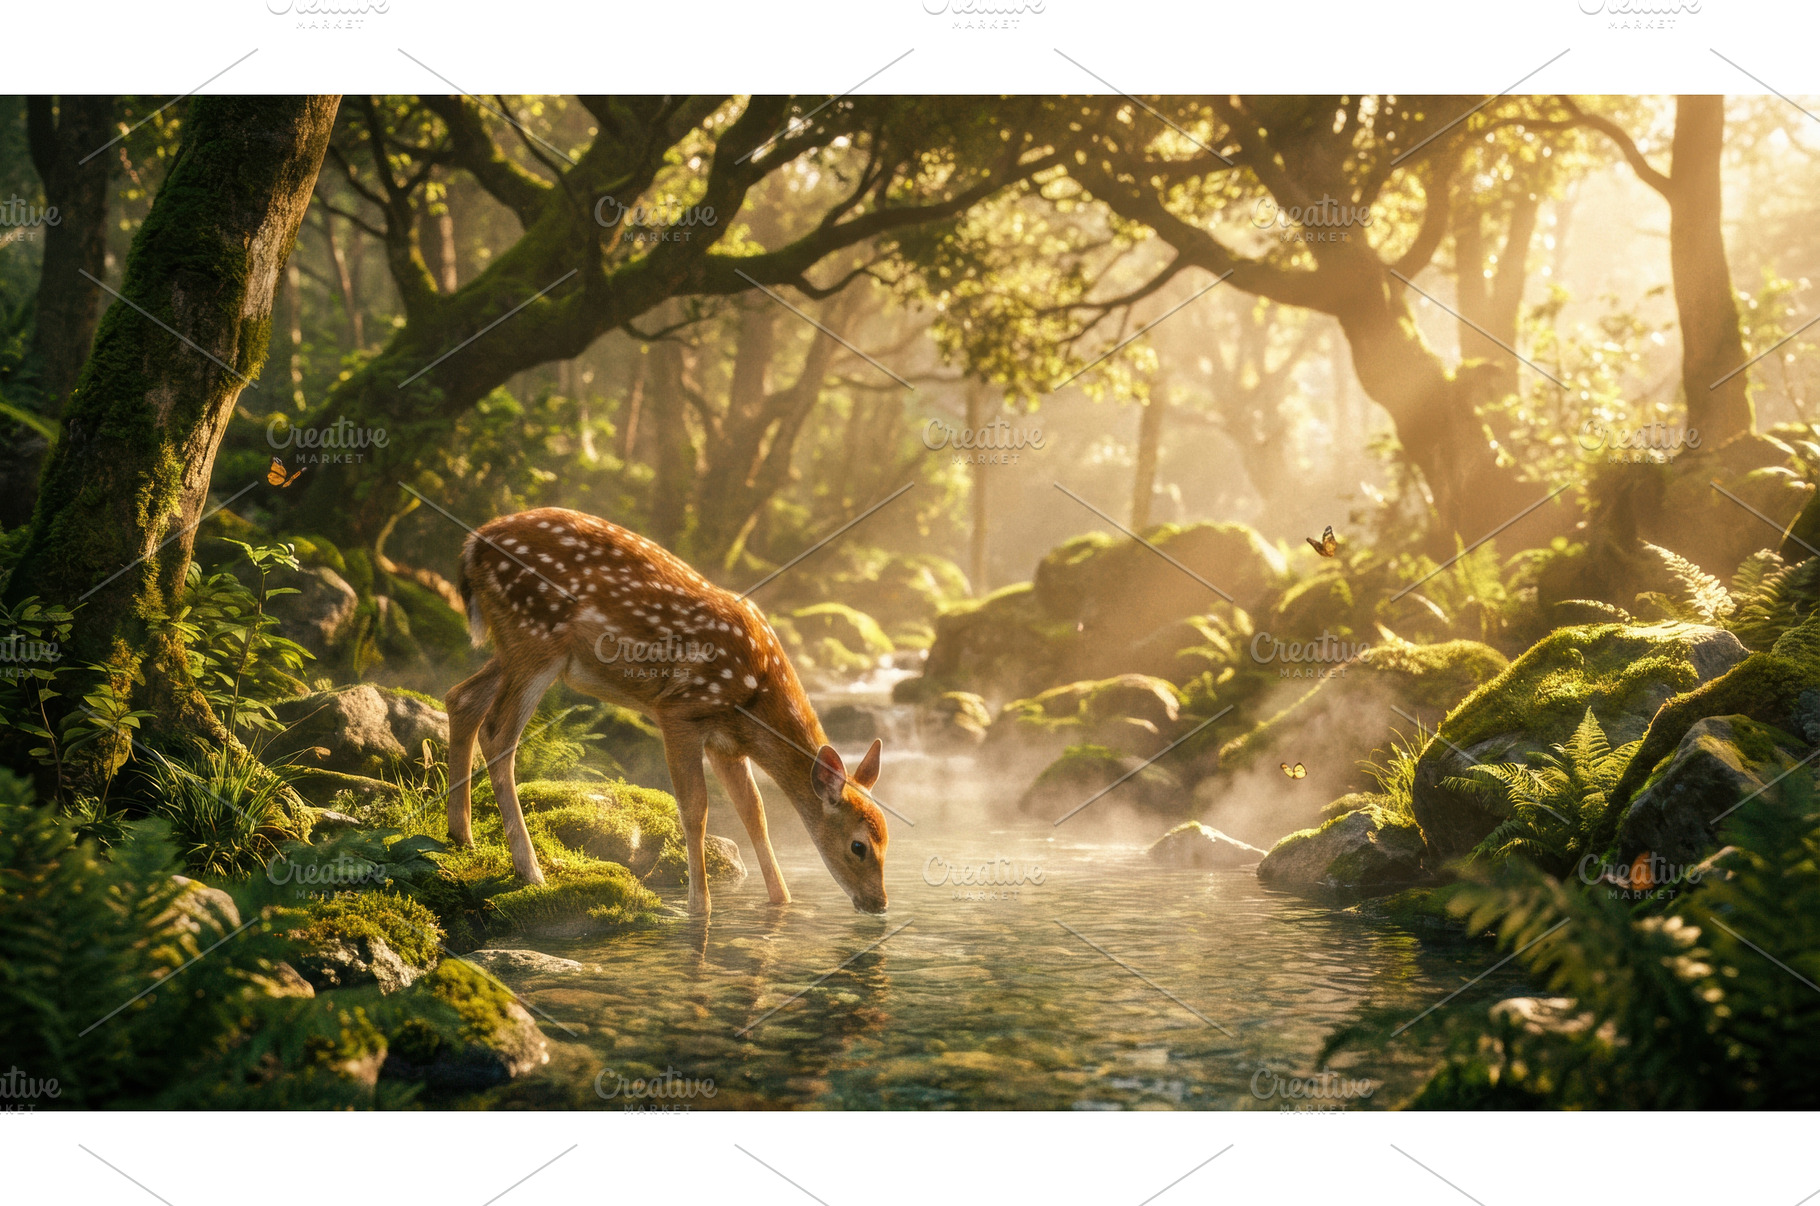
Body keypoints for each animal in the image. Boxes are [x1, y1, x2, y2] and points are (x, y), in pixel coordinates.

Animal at [444, 506, 888, 918]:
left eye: (889, 839)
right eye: (859, 846)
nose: (880, 903)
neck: (754, 693)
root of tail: (471, 546)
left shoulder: (727, 744)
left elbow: (754, 812)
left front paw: (781, 901)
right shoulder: (679, 711)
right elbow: (695, 808)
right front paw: (699, 907)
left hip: (513, 646)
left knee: (461, 698)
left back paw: (461, 836)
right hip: (535, 637)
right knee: (498, 733)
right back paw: (530, 870)